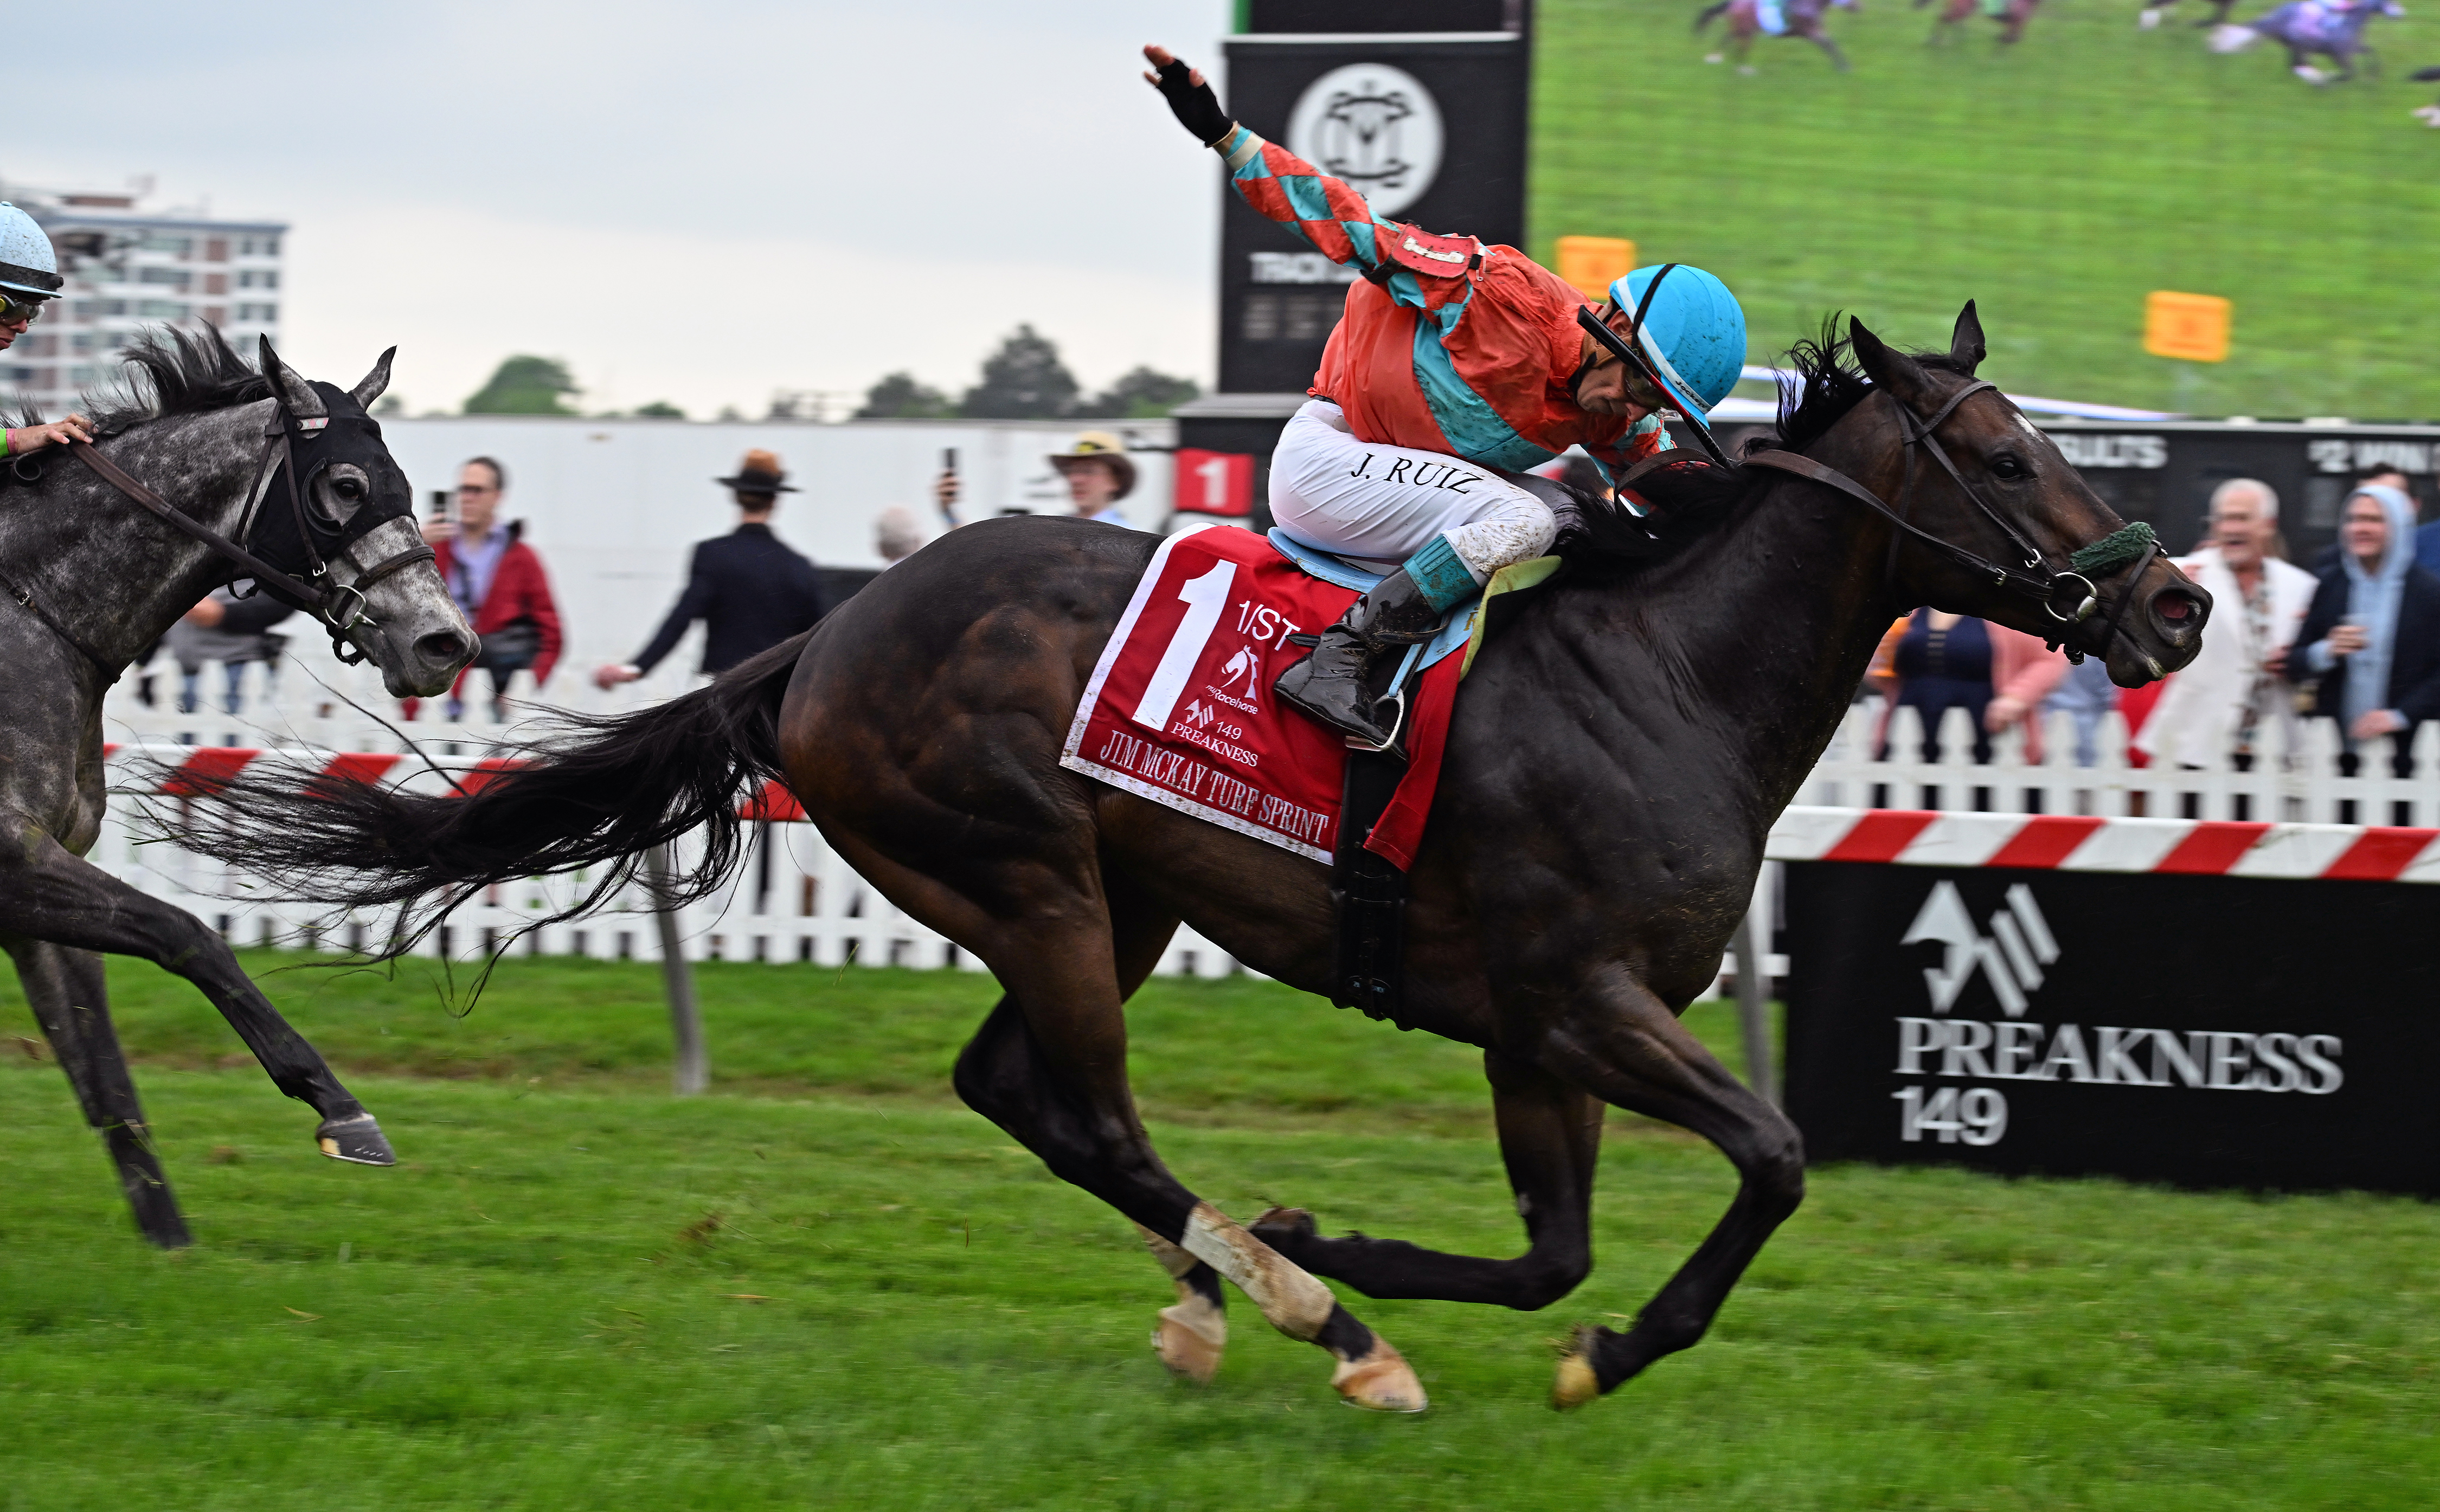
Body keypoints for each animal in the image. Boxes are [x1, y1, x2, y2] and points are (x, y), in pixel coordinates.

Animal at [4, 331, 473, 1239]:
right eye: (347, 485)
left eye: (405, 484)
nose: (446, 643)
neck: (33, 615)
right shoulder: (12, 858)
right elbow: (191, 933)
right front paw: (340, 1106)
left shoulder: (41, 877)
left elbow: (105, 1079)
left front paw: (169, 1244)